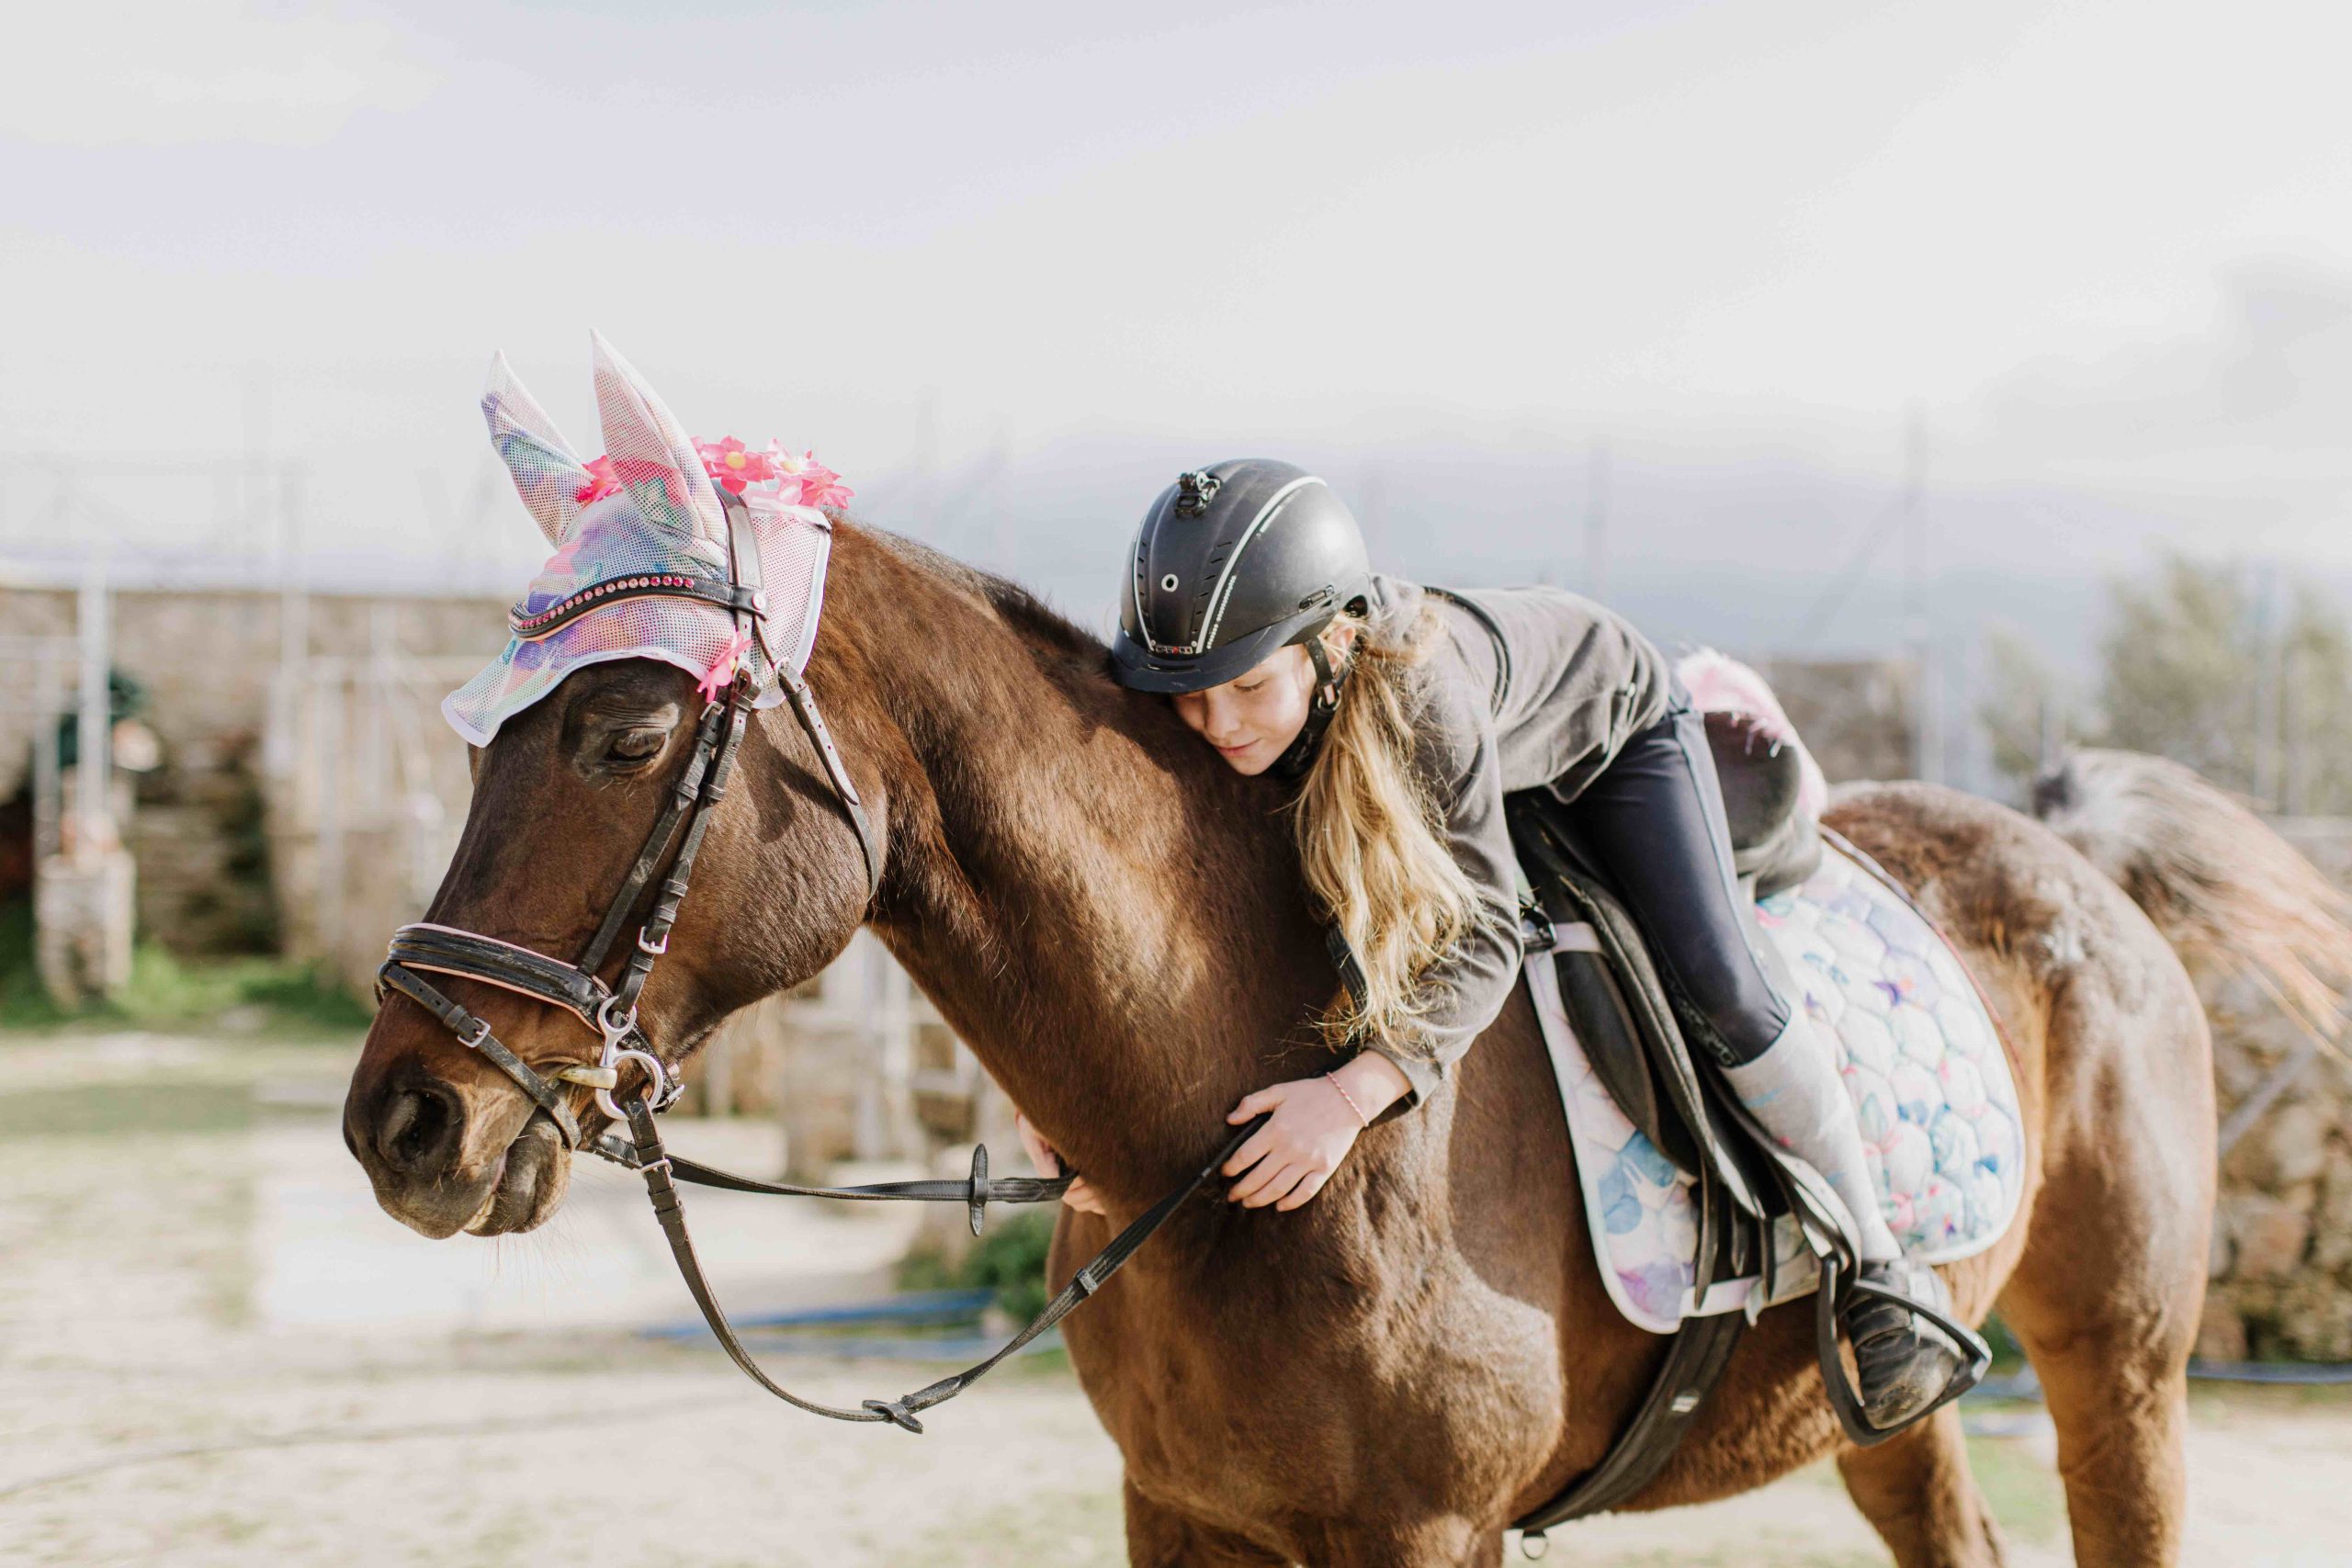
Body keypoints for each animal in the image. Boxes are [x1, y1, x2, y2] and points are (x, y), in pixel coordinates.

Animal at [341, 510, 2342, 1561]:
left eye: (620, 738)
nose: (401, 1122)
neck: (1224, 1118)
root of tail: (2072, 855)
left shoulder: (1423, 1535)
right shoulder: (1178, 1511)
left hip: (2119, 1371)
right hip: (1885, 1419)